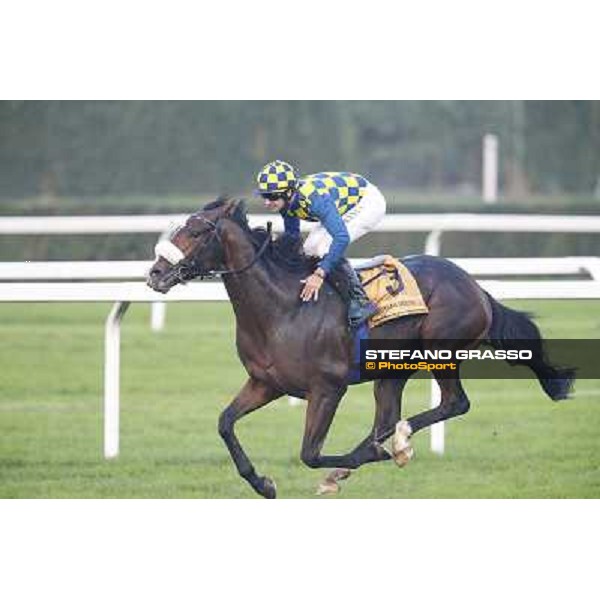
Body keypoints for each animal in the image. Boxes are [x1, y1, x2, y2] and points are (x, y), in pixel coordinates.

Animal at [148, 199, 576, 500]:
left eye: (196, 232)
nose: (154, 273)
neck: (282, 308)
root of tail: (476, 288)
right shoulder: (266, 383)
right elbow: (225, 423)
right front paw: (262, 483)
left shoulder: (327, 389)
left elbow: (310, 453)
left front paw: (376, 456)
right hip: (391, 369)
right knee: (386, 419)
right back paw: (373, 452)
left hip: (440, 349)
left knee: (453, 403)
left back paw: (398, 444)